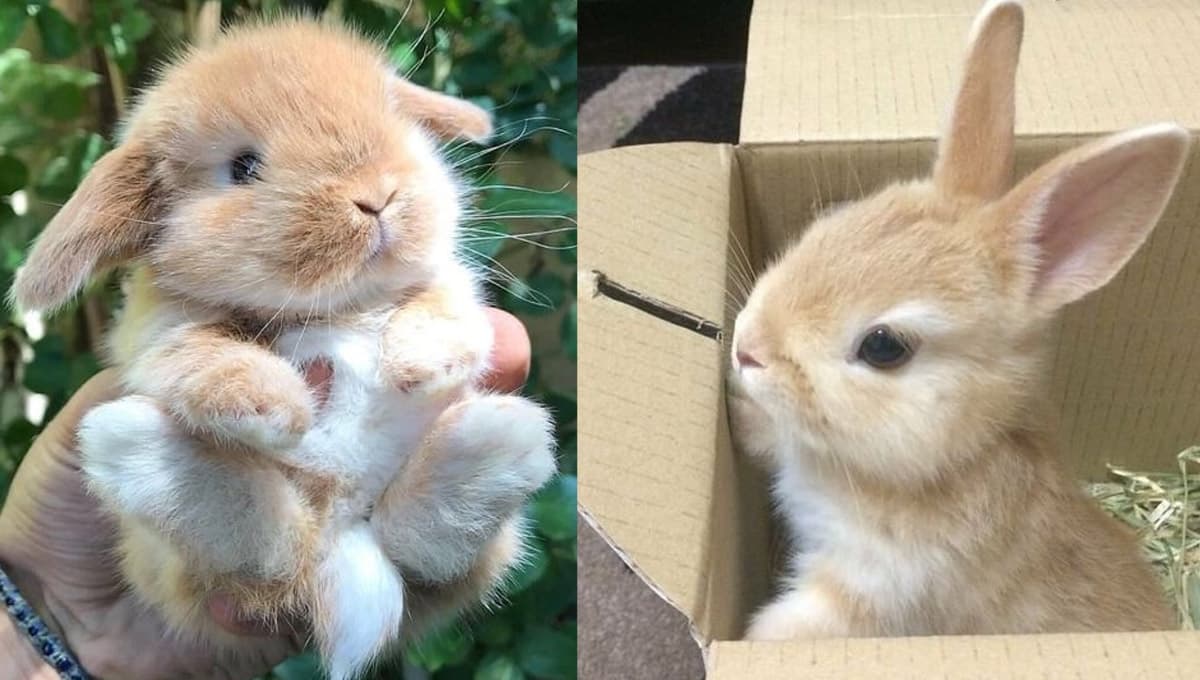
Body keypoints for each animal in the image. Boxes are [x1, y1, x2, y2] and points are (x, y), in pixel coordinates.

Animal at [728, 0, 1189, 640]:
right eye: (830, 223)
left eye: (884, 347)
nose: (745, 346)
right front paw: (736, 411)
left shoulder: (865, 594)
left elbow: (790, 630)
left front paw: (749, 642)